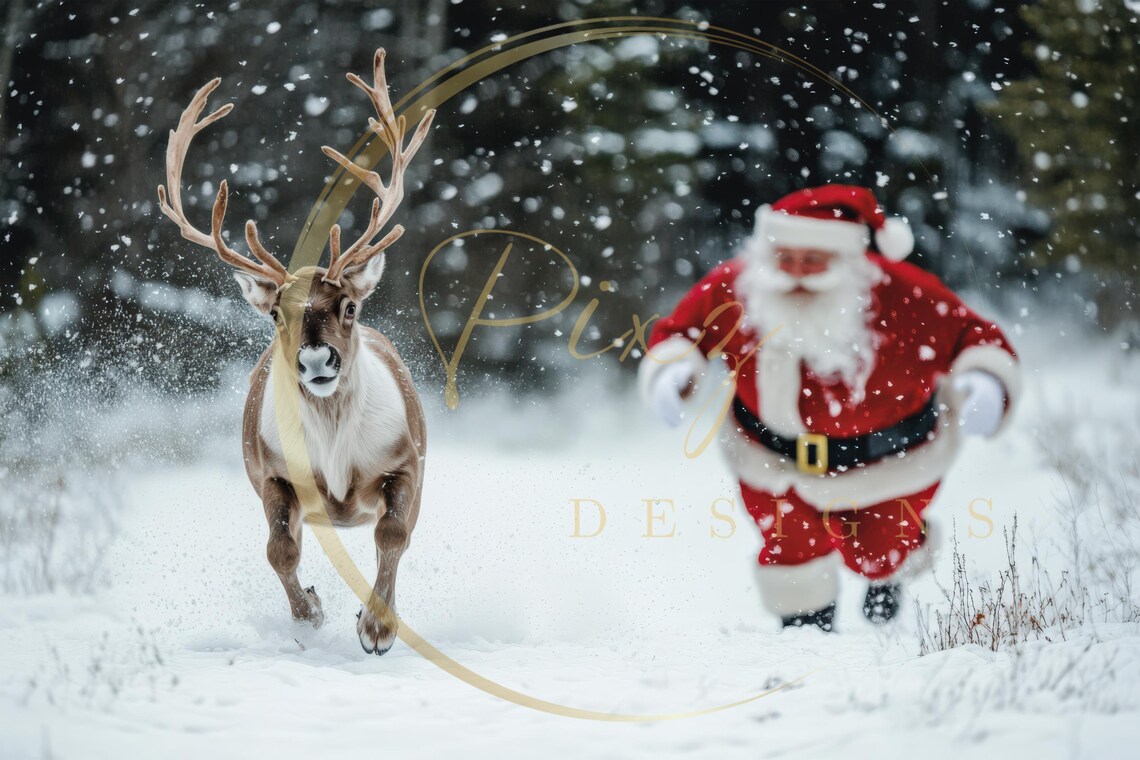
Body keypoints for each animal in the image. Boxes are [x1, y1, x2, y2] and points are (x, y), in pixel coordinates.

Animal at [156, 49, 434, 656]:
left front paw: (377, 628)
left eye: (349, 305)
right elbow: (279, 550)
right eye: (274, 314)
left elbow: (394, 533)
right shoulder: (272, 472)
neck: (334, 455)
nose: (316, 361)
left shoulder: (406, 461)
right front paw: (310, 614)